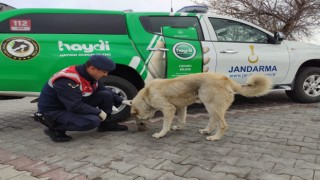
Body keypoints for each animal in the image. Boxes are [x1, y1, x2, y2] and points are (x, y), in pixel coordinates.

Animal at [131, 72, 272, 141]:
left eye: (137, 117)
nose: (140, 126)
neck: (146, 93)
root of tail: (225, 79)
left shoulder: (168, 109)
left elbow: (165, 125)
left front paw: (160, 134)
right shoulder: (181, 108)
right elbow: (181, 120)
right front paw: (178, 127)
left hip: (211, 106)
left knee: (222, 125)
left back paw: (215, 137)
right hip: (212, 107)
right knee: (213, 121)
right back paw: (206, 131)